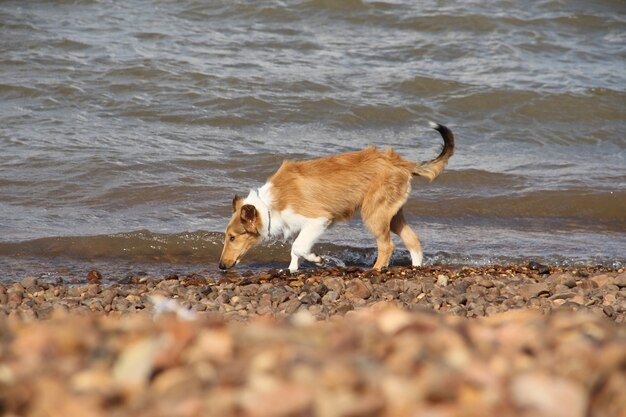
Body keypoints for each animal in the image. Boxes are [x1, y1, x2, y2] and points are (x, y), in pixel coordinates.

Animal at [219, 122, 454, 272]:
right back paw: (415, 268)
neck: (268, 206)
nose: (221, 266)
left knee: (388, 246)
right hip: (392, 214)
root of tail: (399, 162)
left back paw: (375, 269)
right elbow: (295, 250)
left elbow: (298, 247)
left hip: (373, 214)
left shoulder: (319, 220)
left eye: (232, 237)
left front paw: (317, 259)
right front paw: (292, 269)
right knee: (413, 241)